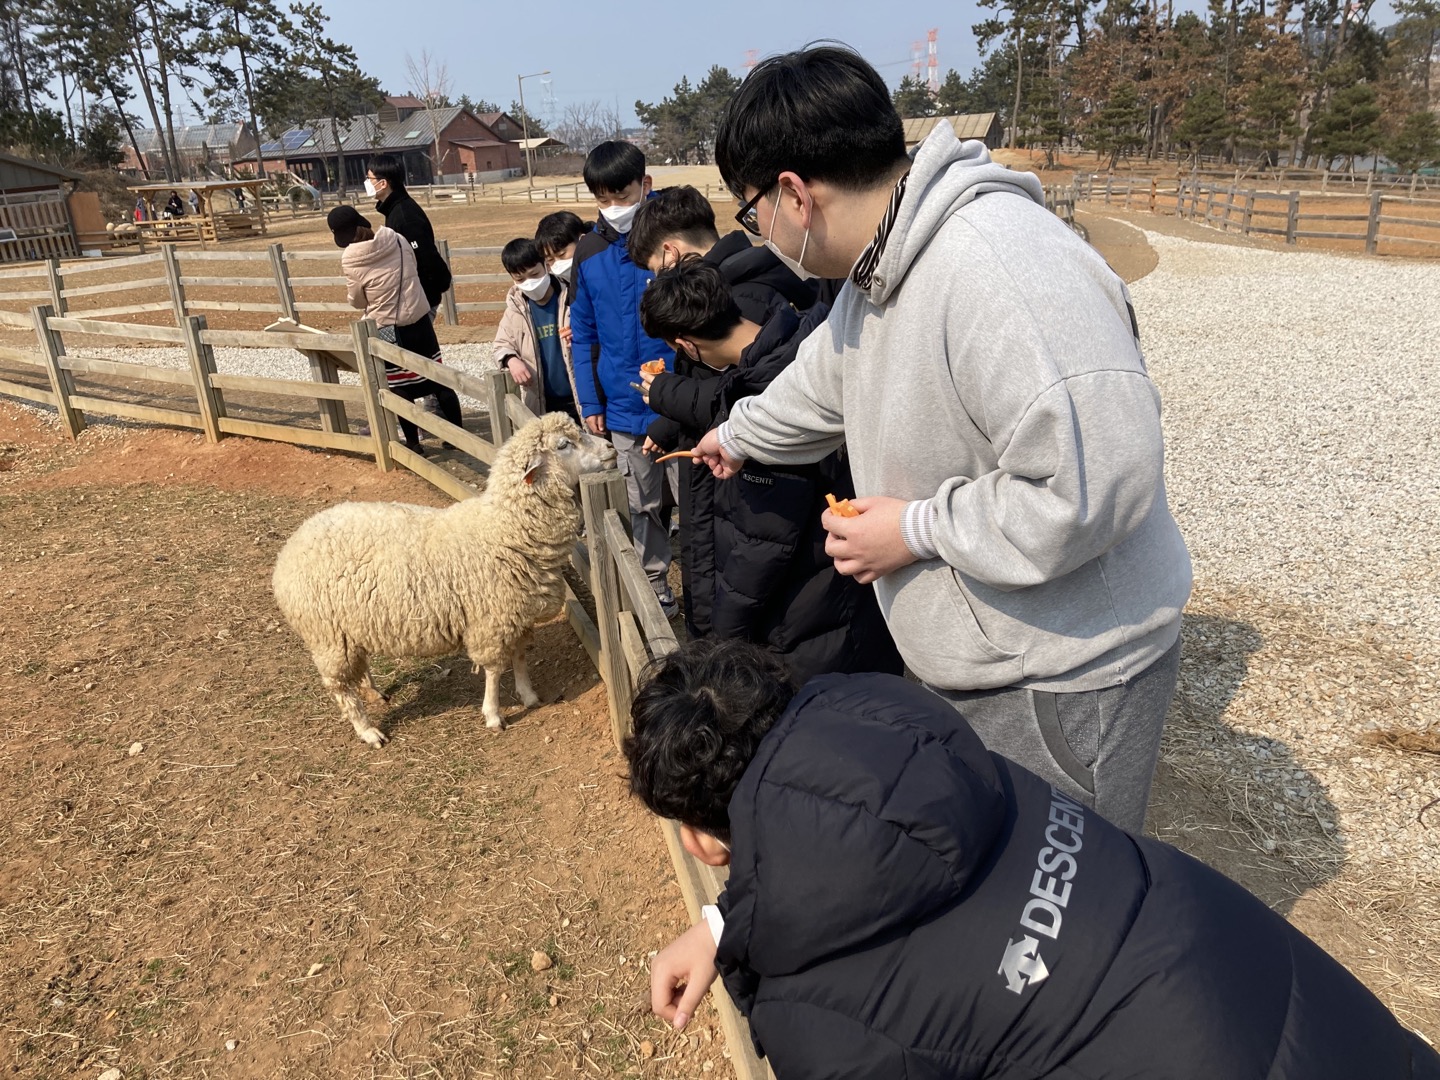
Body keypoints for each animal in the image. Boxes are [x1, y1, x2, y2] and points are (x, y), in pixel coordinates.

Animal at [272, 411, 616, 745]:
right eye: (563, 445)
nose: (611, 448)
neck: (504, 529)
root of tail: (291, 547)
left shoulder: (517, 616)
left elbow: (519, 656)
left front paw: (528, 695)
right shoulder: (490, 621)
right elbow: (494, 670)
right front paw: (493, 715)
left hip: (351, 628)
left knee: (358, 665)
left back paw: (373, 691)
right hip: (327, 635)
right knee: (341, 687)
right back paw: (368, 731)